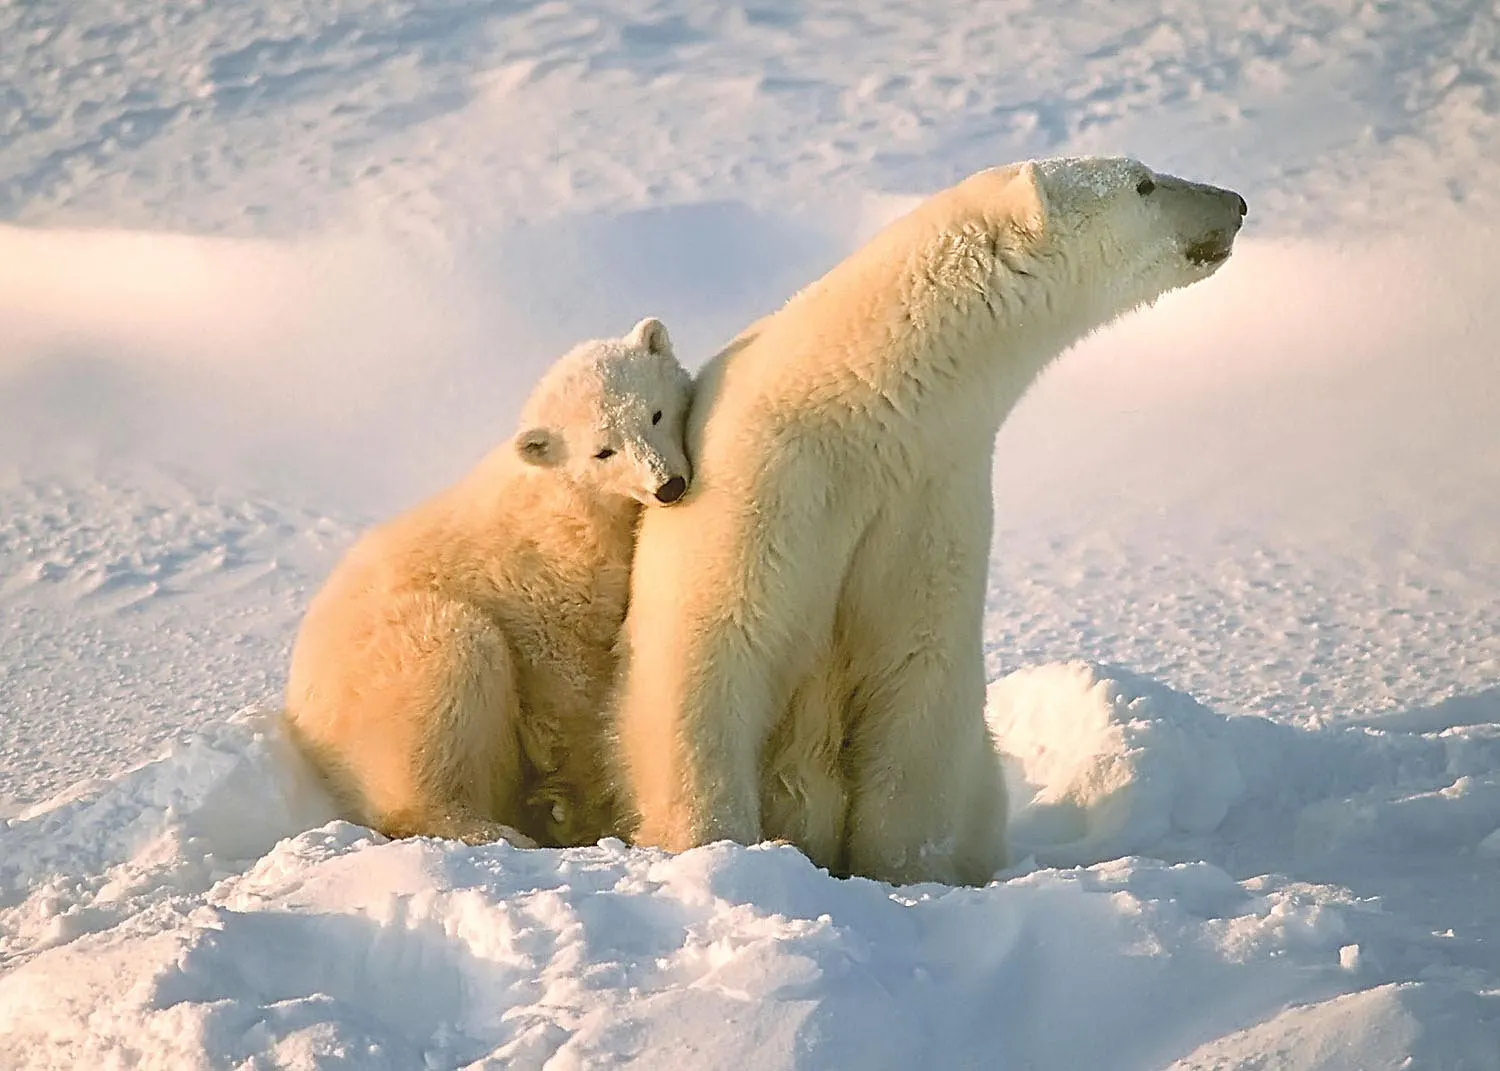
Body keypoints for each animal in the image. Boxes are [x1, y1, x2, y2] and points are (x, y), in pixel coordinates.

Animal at [284, 316, 693, 848]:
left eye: (655, 414)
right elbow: (570, 682)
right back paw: (495, 830)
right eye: (603, 451)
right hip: (389, 665)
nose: (668, 485)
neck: (573, 507)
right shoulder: (545, 585)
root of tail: (301, 707)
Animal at [612, 157, 1246, 886]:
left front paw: (907, 876)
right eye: (1142, 181)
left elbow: (918, 675)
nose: (1235, 203)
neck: (860, 403)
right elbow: (711, 652)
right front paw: (716, 850)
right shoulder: (763, 482)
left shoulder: (929, 491)